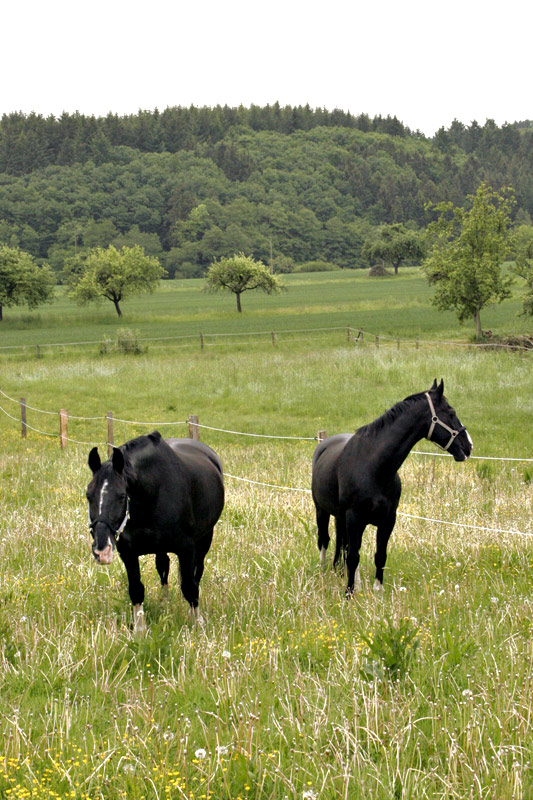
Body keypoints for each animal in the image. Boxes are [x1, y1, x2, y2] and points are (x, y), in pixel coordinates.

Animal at [86, 432, 223, 632]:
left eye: (121, 495)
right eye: (88, 495)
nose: (102, 551)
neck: (154, 493)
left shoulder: (186, 549)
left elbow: (189, 587)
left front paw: (197, 625)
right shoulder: (128, 553)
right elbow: (136, 589)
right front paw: (140, 631)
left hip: (205, 539)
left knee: (196, 573)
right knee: (163, 567)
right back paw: (164, 603)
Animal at [310, 380, 472, 592]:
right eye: (451, 412)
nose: (469, 446)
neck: (374, 467)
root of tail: (323, 445)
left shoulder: (388, 520)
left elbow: (379, 556)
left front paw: (377, 591)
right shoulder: (355, 518)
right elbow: (353, 556)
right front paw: (349, 593)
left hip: (340, 517)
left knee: (342, 545)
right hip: (322, 511)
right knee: (325, 540)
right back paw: (324, 574)